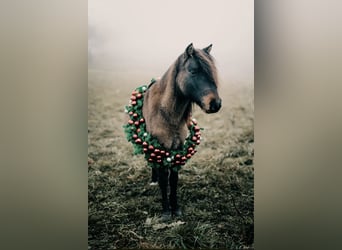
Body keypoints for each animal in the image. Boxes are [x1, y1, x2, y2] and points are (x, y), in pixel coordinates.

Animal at [142, 44, 222, 220]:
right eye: (193, 71)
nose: (215, 104)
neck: (167, 113)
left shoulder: (177, 149)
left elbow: (174, 179)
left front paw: (176, 208)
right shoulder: (162, 148)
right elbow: (164, 180)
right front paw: (166, 211)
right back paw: (153, 180)